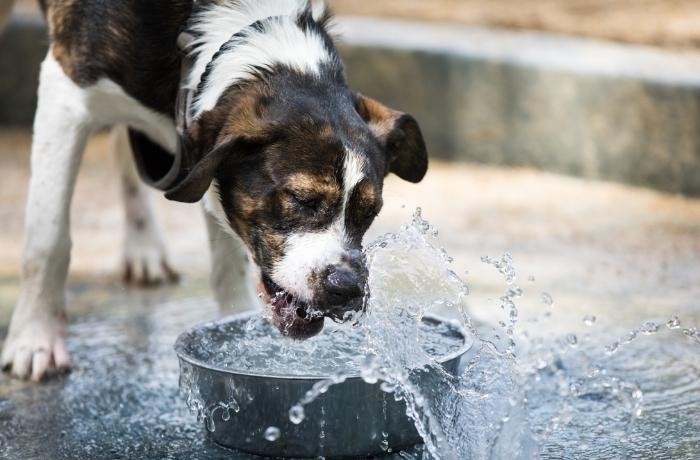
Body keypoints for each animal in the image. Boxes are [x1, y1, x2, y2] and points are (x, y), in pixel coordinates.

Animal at [0, 0, 426, 380]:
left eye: (370, 212)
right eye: (302, 200)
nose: (347, 289)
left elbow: (228, 265)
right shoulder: (66, 92)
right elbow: (48, 241)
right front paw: (34, 340)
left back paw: (143, 246)